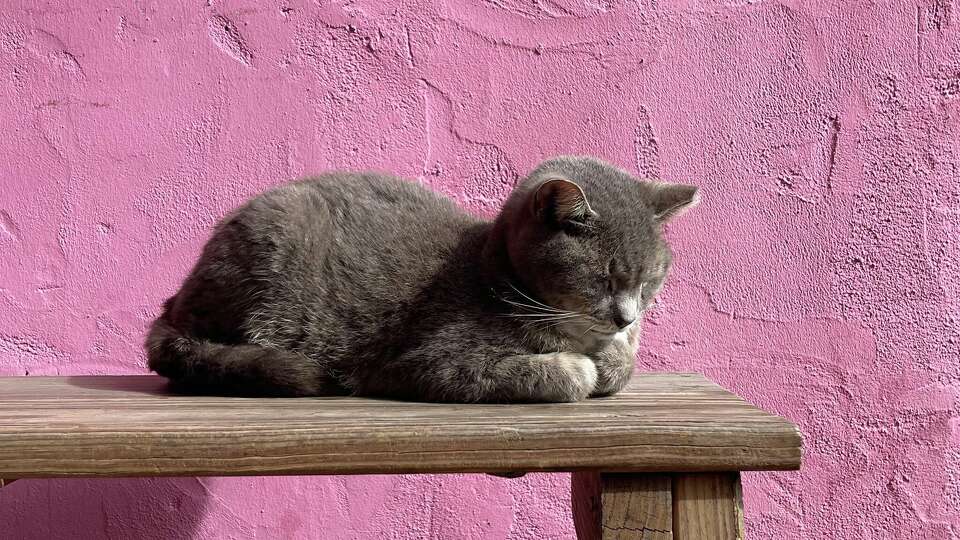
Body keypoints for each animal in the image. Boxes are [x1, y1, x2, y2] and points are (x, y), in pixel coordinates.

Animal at [144, 155, 696, 400]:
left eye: (649, 281)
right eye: (604, 277)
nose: (627, 316)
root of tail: (171, 305)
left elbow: (622, 364)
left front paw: (616, 356)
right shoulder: (427, 363)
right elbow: (569, 373)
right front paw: (582, 367)